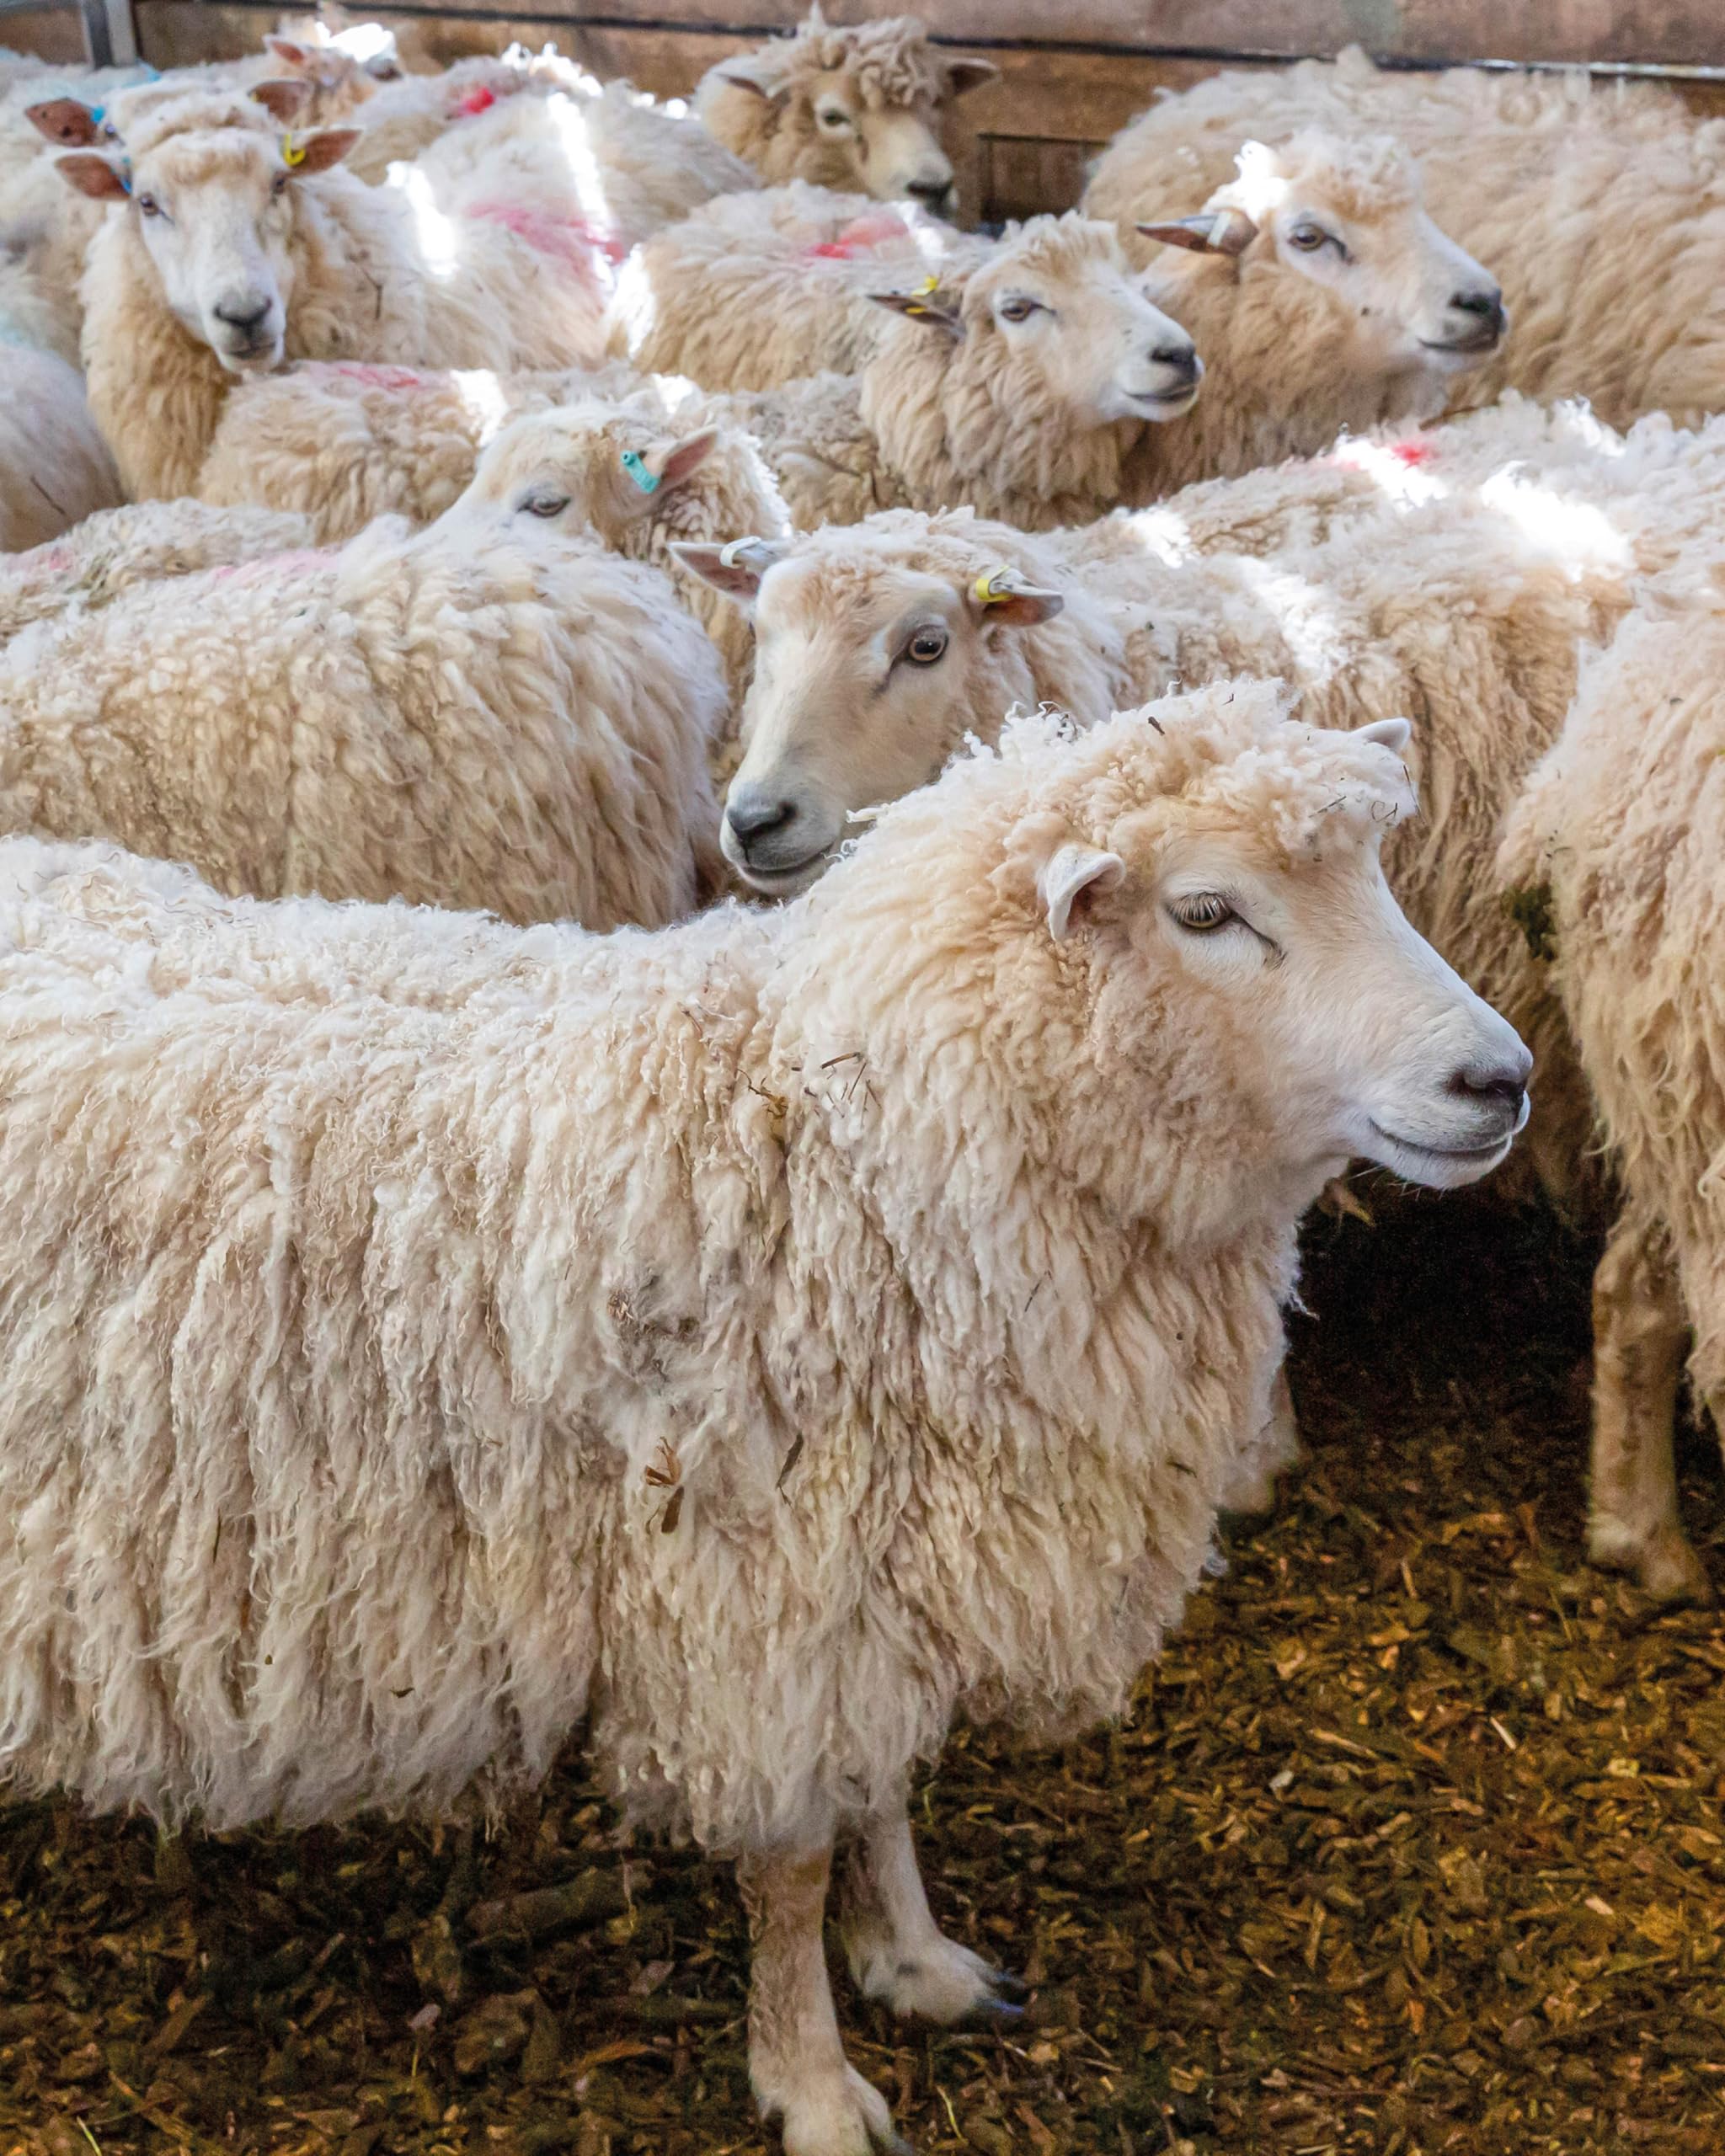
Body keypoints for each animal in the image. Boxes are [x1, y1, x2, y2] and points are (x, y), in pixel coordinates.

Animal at [0, 681, 1529, 2156]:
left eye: (1376, 874)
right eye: (1206, 911)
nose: (1498, 1082)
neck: (849, 1144)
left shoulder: (878, 1570)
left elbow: (882, 1788)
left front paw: (914, 1962)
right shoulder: (765, 1594)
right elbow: (791, 1866)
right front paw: (810, 2083)